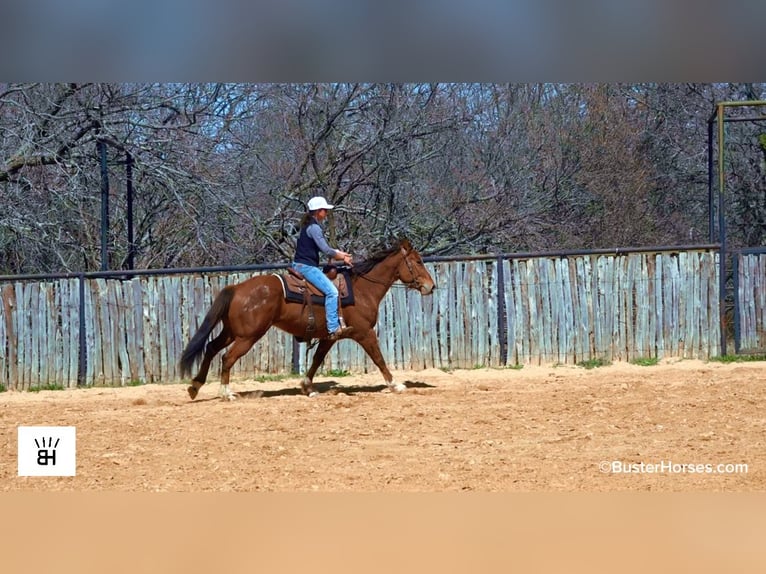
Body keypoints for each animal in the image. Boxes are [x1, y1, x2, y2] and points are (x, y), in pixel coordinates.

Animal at [179, 238, 436, 400]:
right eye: (418, 261)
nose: (430, 286)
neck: (362, 289)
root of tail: (236, 288)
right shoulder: (364, 332)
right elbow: (379, 358)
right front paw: (396, 385)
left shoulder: (330, 336)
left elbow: (316, 360)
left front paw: (307, 387)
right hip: (248, 336)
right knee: (227, 357)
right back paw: (226, 393)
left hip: (232, 331)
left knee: (211, 348)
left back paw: (195, 386)